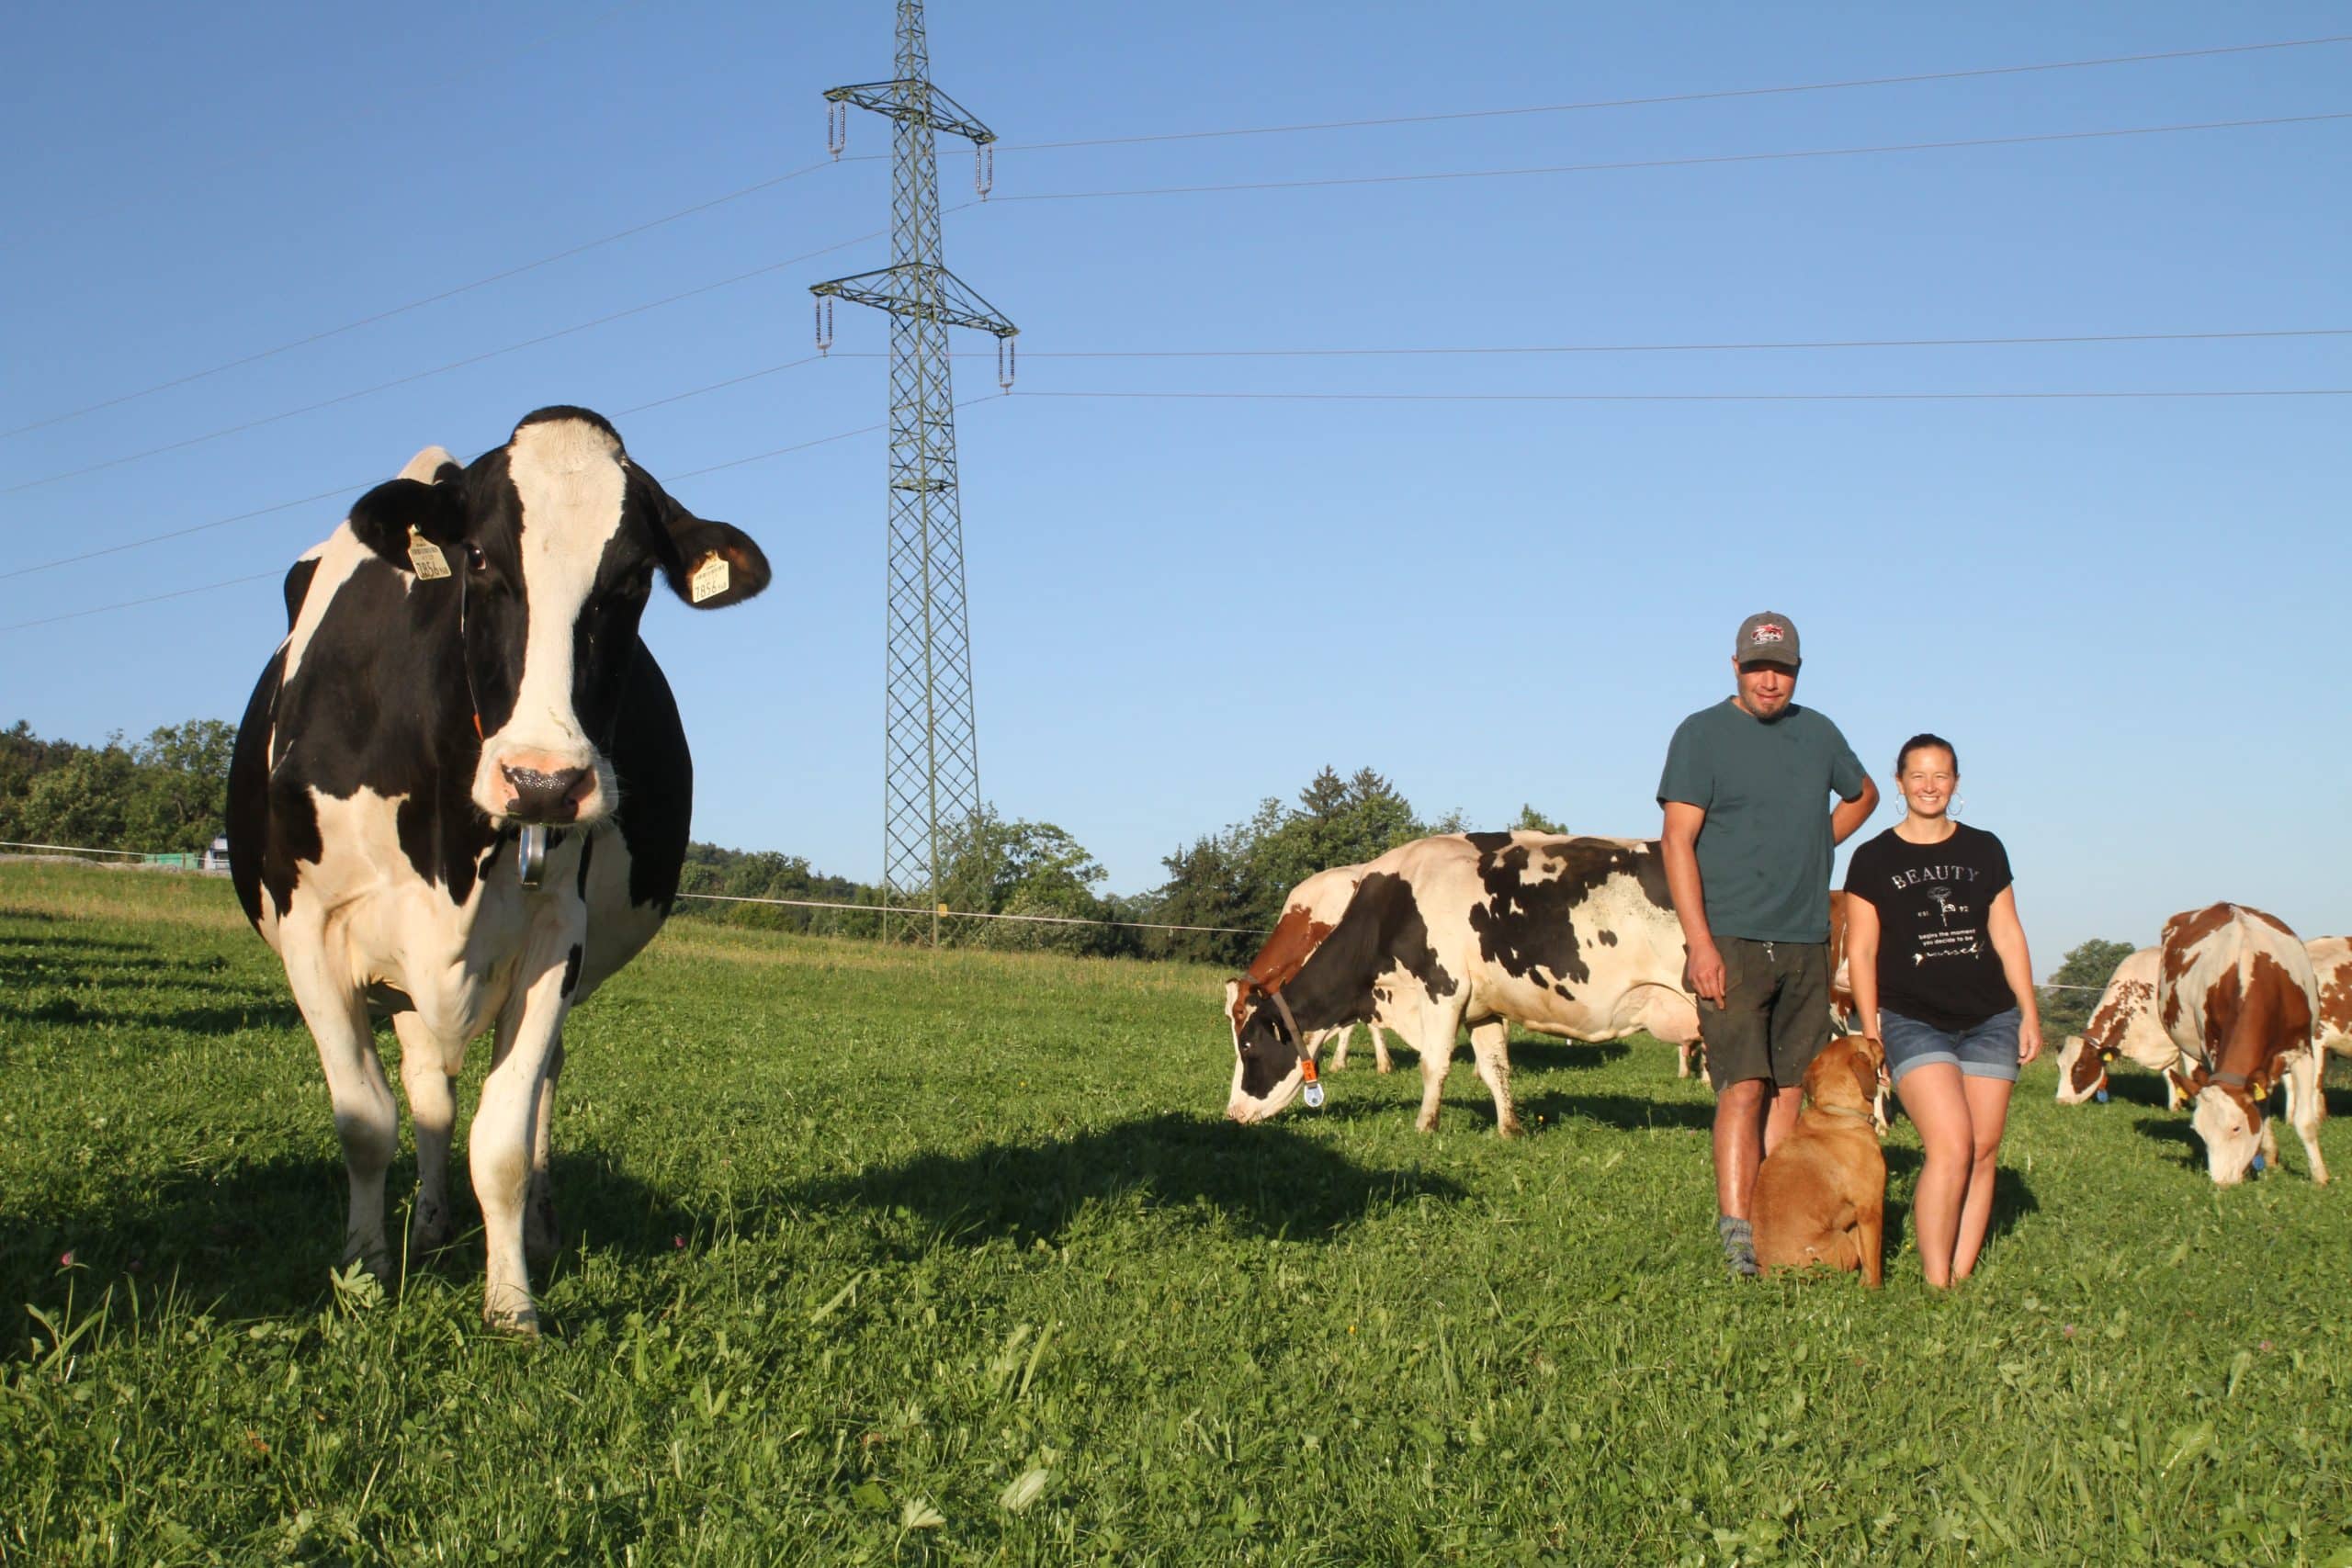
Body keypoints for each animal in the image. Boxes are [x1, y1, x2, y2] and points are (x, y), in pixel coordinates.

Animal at [228, 411, 766, 1335]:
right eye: (478, 557)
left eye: (634, 579)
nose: (543, 781)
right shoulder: (311, 928)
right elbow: (366, 1119)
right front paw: (365, 1271)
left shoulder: (556, 936)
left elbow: (505, 1138)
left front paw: (512, 1300)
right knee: (428, 1091)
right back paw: (430, 1223)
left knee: (529, 1083)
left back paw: (532, 1231)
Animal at [1223, 831, 1702, 1142]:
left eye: (1248, 1047)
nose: (1231, 1114)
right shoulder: (1482, 1007)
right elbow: (1495, 1068)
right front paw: (1509, 1129)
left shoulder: (1442, 990)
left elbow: (1433, 1065)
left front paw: (1424, 1128)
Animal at [1749, 1034, 1891, 1279]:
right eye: (1868, 1043)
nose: (1876, 1037)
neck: (1836, 1113)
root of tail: (1771, 1274)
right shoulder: (1870, 1208)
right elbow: (1873, 1264)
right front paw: (1874, 1286)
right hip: (1841, 1242)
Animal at [2154, 902, 2333, 1184]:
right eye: (2199, 1133)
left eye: (2236, 1128)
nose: (2221, 1182)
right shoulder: (2214, 1049)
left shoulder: (2303, 1052)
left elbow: (2305, 1121)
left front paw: (2320, 1177)